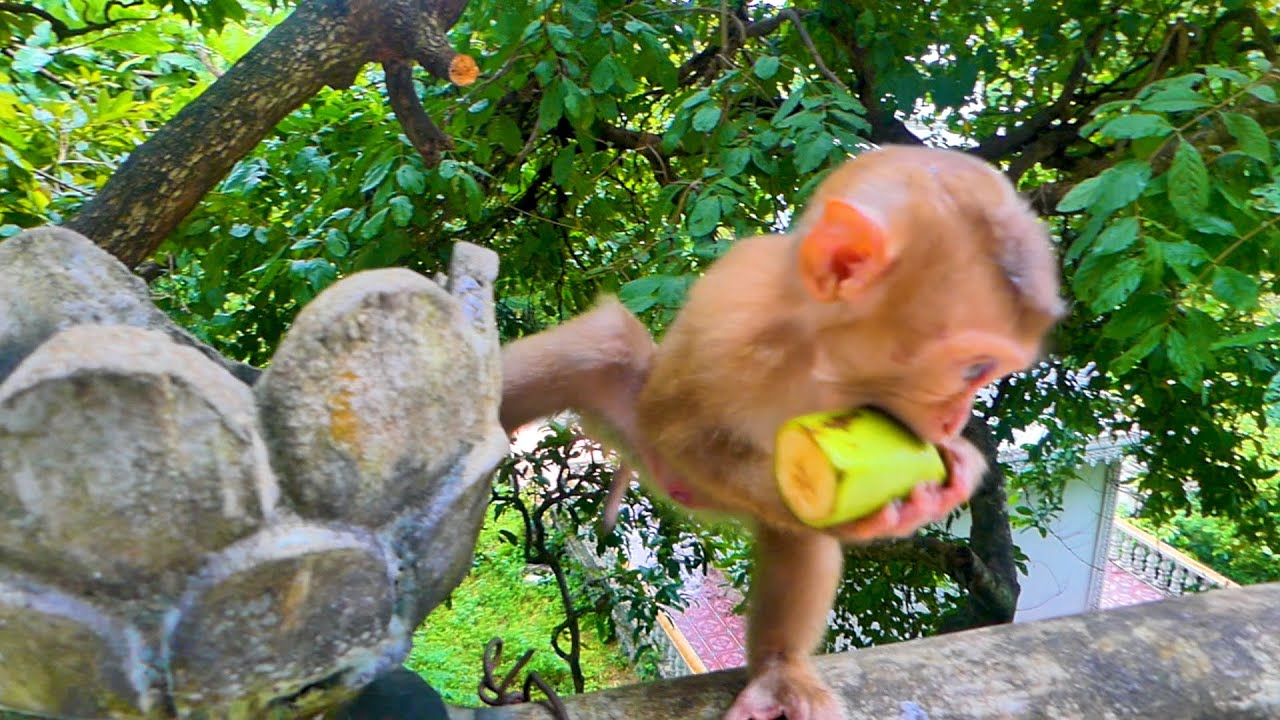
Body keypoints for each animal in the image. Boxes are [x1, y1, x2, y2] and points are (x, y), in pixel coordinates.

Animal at [499, 145, 1065, 720]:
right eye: (975, 368)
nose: (953, 419)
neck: (821, 355)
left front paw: (956, 468)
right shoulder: (733, 325)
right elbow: (677, 431)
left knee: (798, 533)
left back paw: (777, 669)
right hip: (636, 428)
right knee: (604, 346)